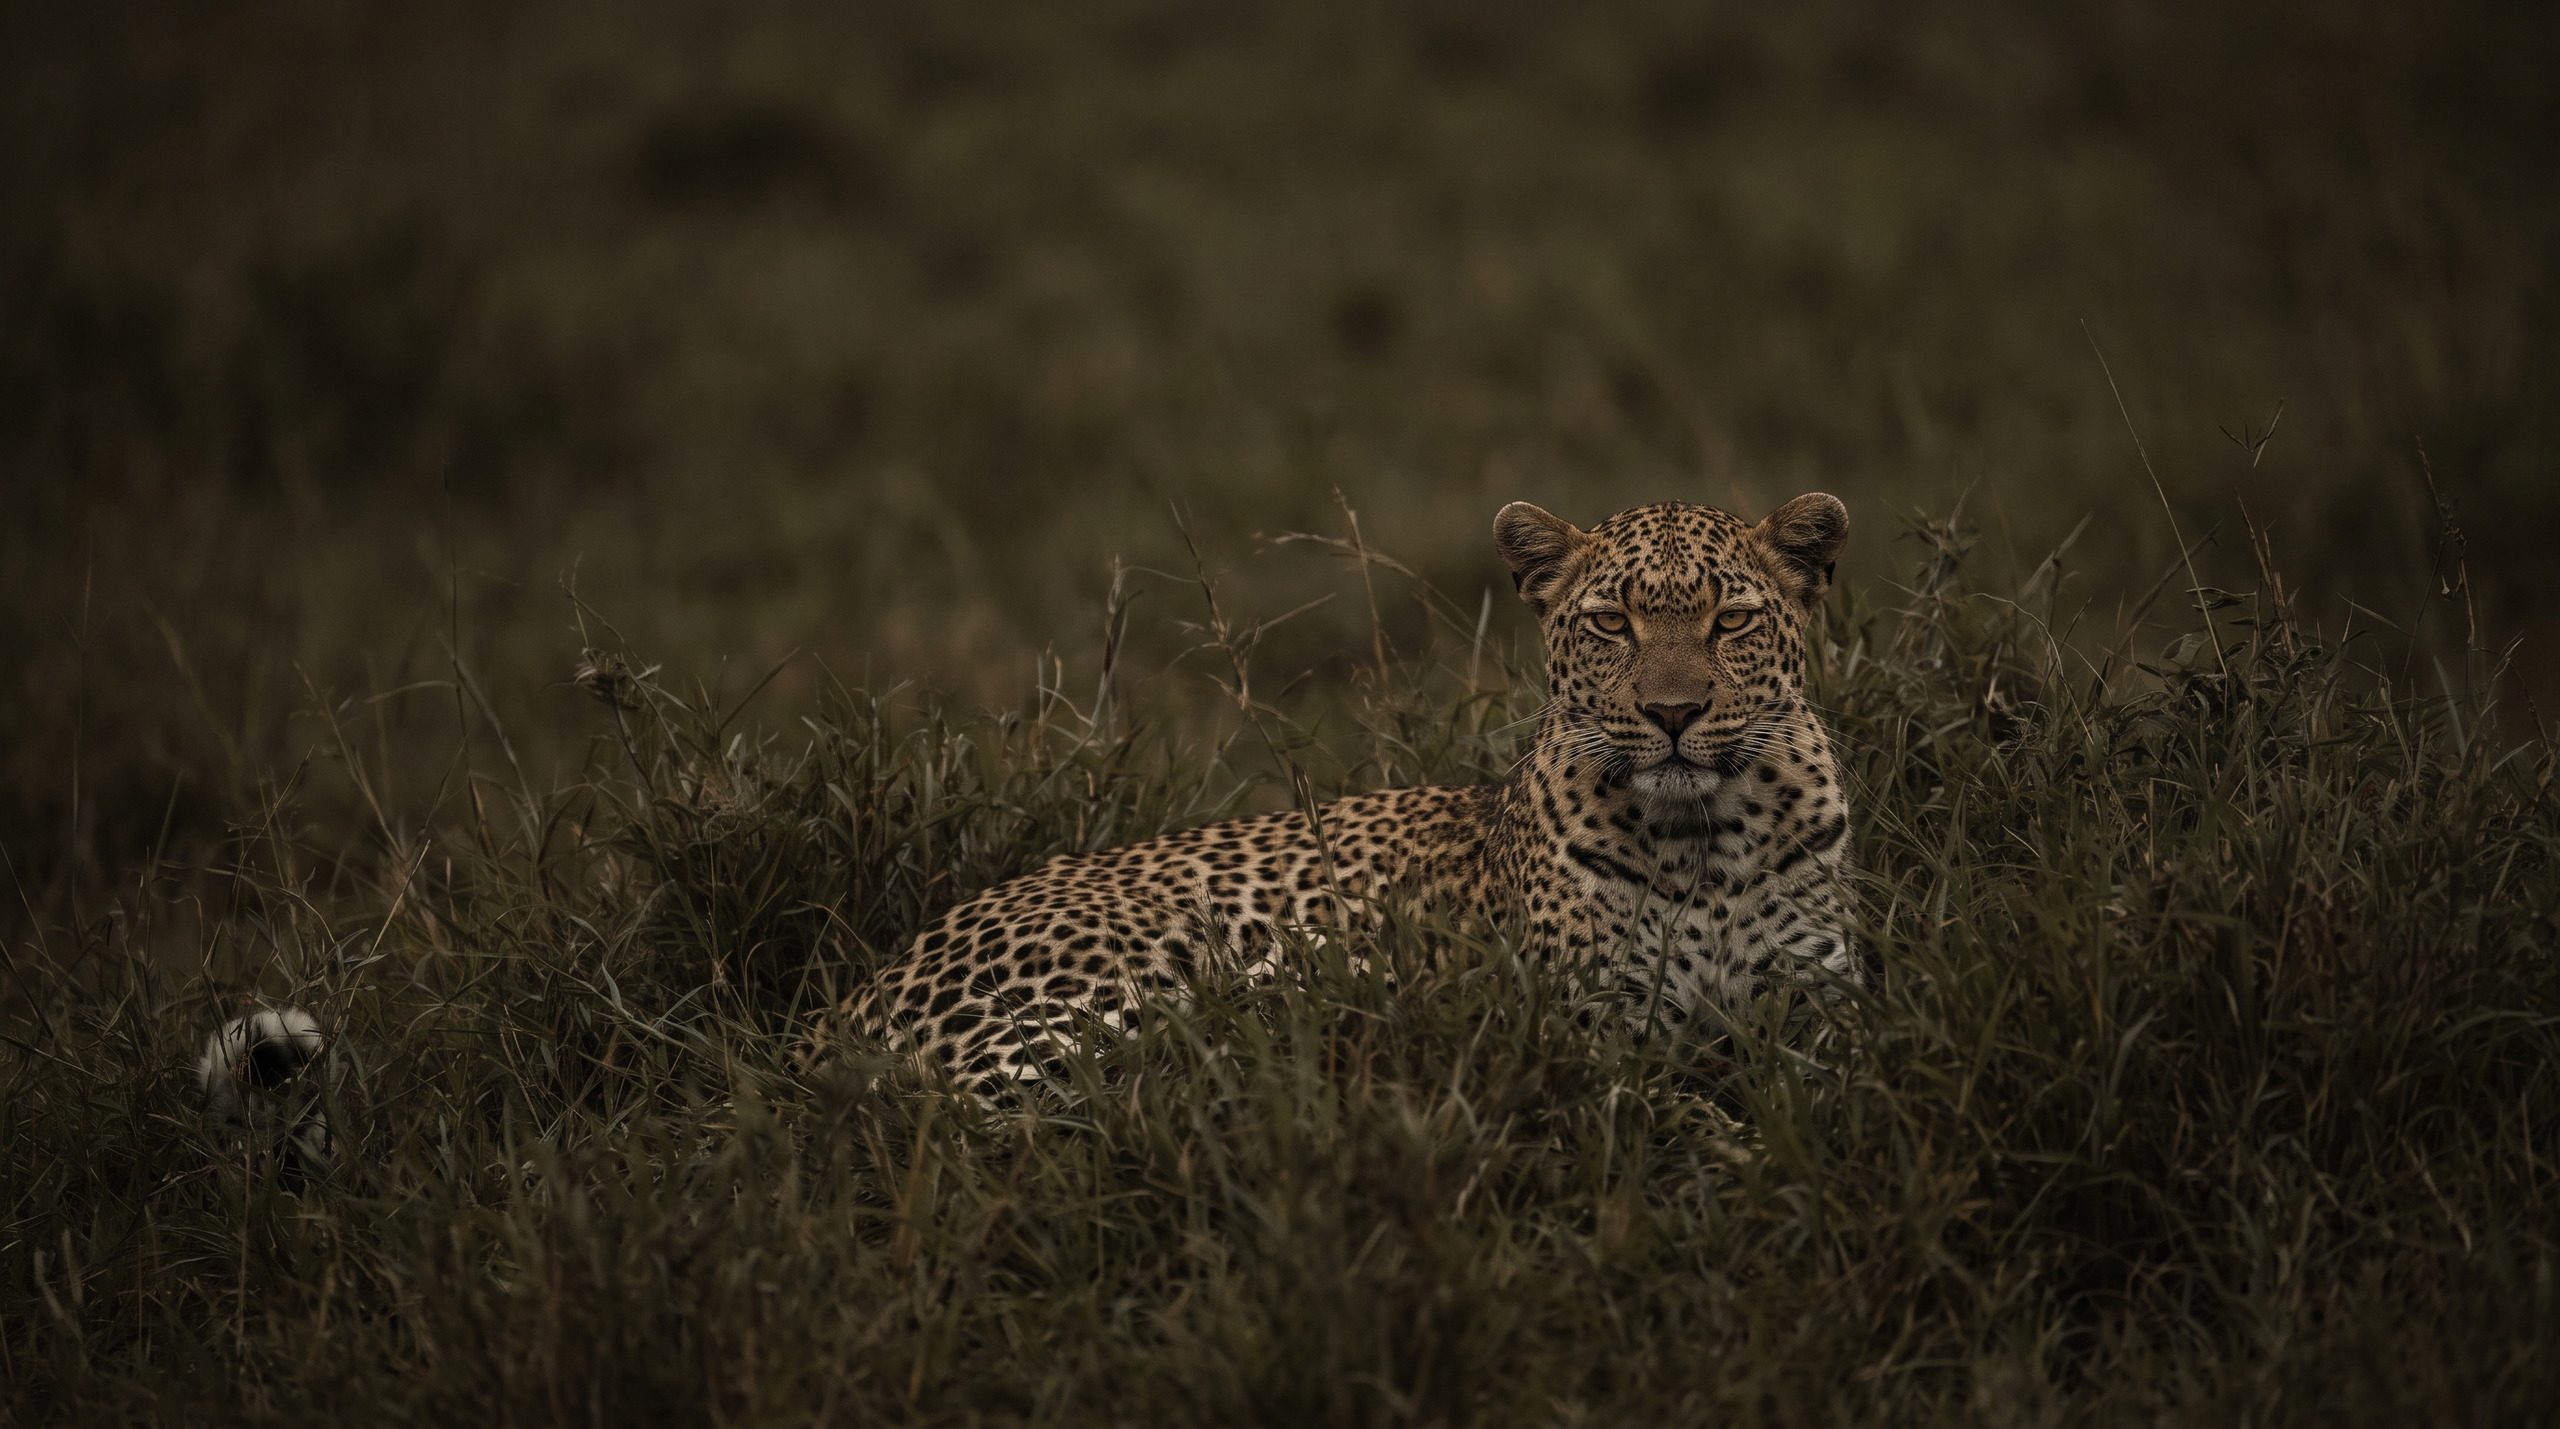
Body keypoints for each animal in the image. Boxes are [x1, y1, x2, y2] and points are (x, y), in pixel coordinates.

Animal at [810, 493, 1863, 1094]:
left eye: (1731, 621)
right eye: (1612, 623)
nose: (1674, 711)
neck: (1704, 840)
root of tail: (846, 1006)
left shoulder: (1822, 1007)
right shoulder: (1602, 1031)